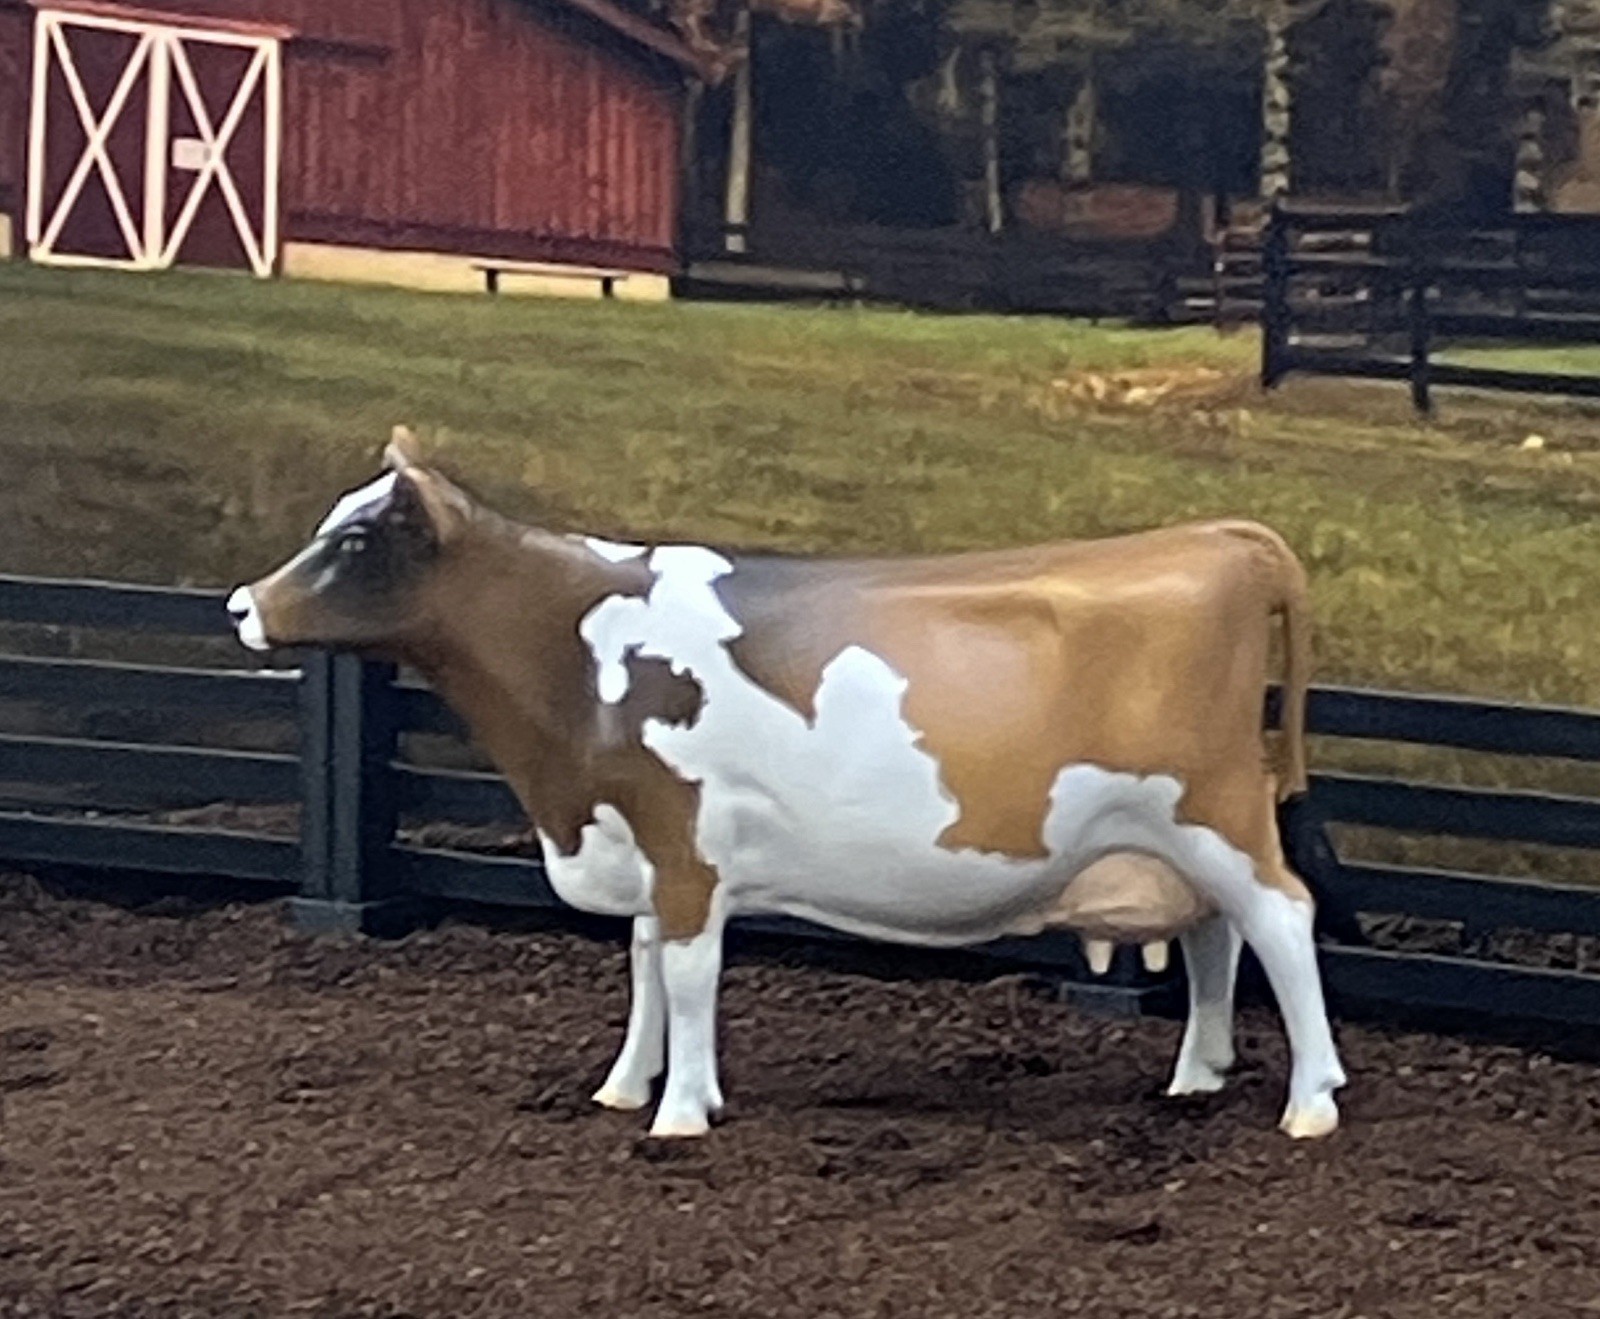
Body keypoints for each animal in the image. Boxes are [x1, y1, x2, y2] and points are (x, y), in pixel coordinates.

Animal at [228, 427, 1347, 1142]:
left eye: (356, 538)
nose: (241, 604)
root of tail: (1221, 536)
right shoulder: (645, 843)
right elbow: (643, 966)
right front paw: (623, 1087)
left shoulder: (682, 839)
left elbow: (686, 973)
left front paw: (683, 1112)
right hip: (1174, 834)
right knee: (1215, 935)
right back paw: (1196, 1076)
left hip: (1213, 810)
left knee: (1280, 919)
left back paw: (1311, 1101)